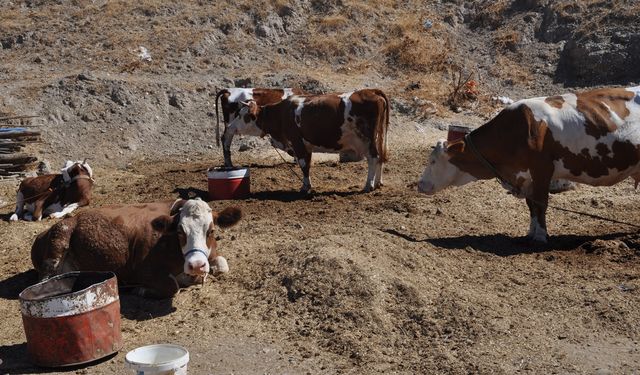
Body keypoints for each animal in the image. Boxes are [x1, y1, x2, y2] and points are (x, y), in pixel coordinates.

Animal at [30, 198, 241, 298]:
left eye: (211, 231)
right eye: (180, 231)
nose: (196, 265)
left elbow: (222, 266)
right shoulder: (141, 271)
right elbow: (172, 286)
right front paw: (142, 290)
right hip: (58, 241)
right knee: (44, 280)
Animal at [229, 89, 390, 192]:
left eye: (242, 116)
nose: (230, 126)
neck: (281, 114)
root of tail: (372, 91)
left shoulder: (297, 142)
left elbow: (303, 164)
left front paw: (305, 187)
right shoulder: (307, 145)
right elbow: (308, 163)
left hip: (367, 139)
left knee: (373, 158)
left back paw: (369, 185)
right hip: (378, 137)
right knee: (380, 158)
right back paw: (377, 183)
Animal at [418, 85, 640, 244]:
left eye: (433, 161)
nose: (419, 185)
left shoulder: (542, 170)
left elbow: (541, 203)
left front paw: (541, 236)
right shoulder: (527, 176)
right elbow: (531, 204)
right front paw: (531, 233)